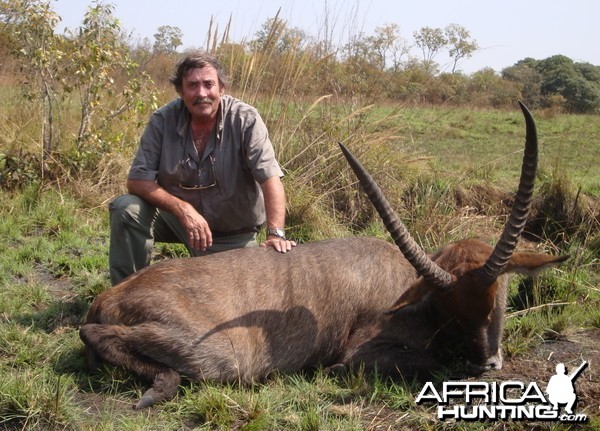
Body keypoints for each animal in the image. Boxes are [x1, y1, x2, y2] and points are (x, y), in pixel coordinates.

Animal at [79, 103, 568, 410]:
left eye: (497, 297)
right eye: (451, 309)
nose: (485, 362)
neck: (412, 292)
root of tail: (110, 295)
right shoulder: (363, 351)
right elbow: (426, 362)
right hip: (217, 356)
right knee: (92, 333)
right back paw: (158, 388)